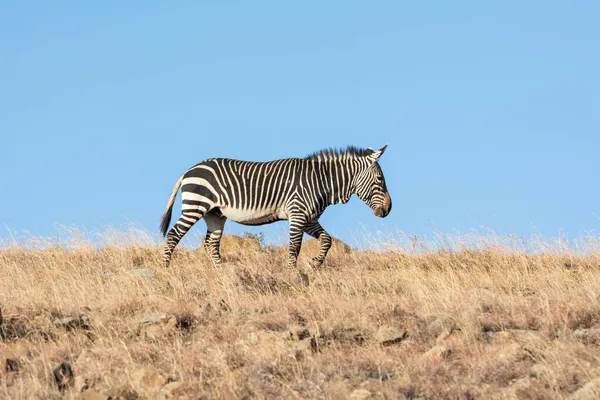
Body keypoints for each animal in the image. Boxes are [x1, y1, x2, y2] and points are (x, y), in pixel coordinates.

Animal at [161, 145, 394, 268]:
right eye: (380, 179)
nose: (388, 209)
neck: (321, 181)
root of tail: (189, 170)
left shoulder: (309, 218)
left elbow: (327, 240)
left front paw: (315, 264)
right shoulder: (298, 213)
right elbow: (294, 247)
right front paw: (293, 273)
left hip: (215, 214)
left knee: (211, 244)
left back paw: (222, 273)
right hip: (195, 205)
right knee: (173, 235)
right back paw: (166, 269)